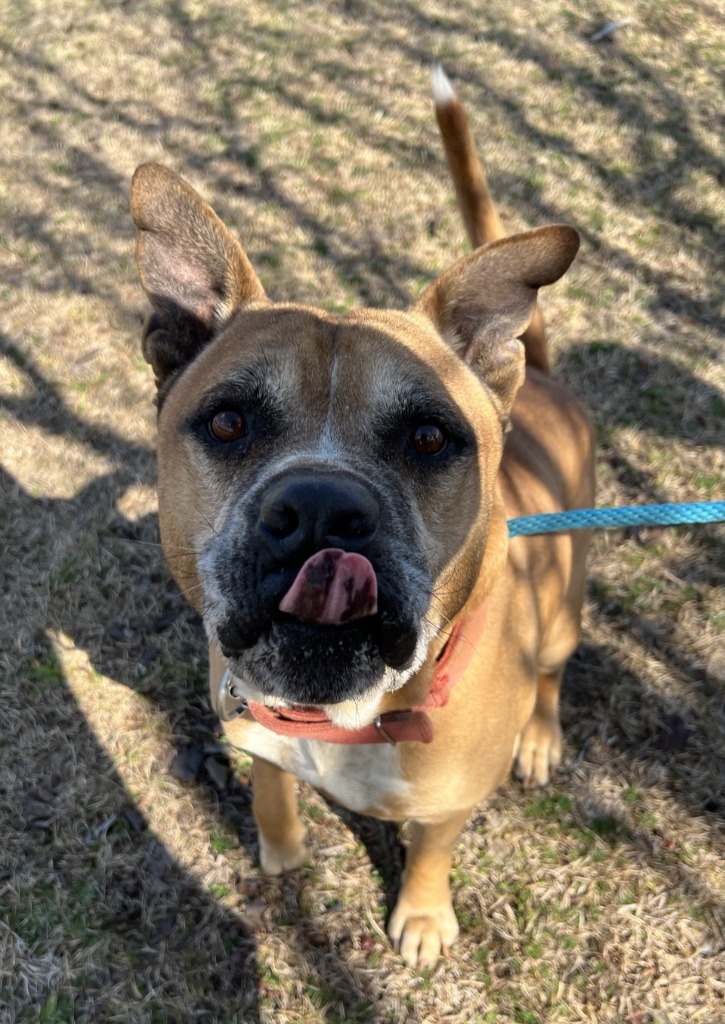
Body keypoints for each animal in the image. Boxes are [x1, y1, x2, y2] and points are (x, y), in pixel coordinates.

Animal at [130, 72, 593, 966]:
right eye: (228, 421)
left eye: (428, 437)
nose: (319, 508)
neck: (344, 722)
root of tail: (547, 382)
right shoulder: (260, 738)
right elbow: (272, 793)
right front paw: (281, 855)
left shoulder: (449, 805)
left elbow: (432, 847)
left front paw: (421, 914)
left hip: (562, 615)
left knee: (554, 671)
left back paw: (541, 737)